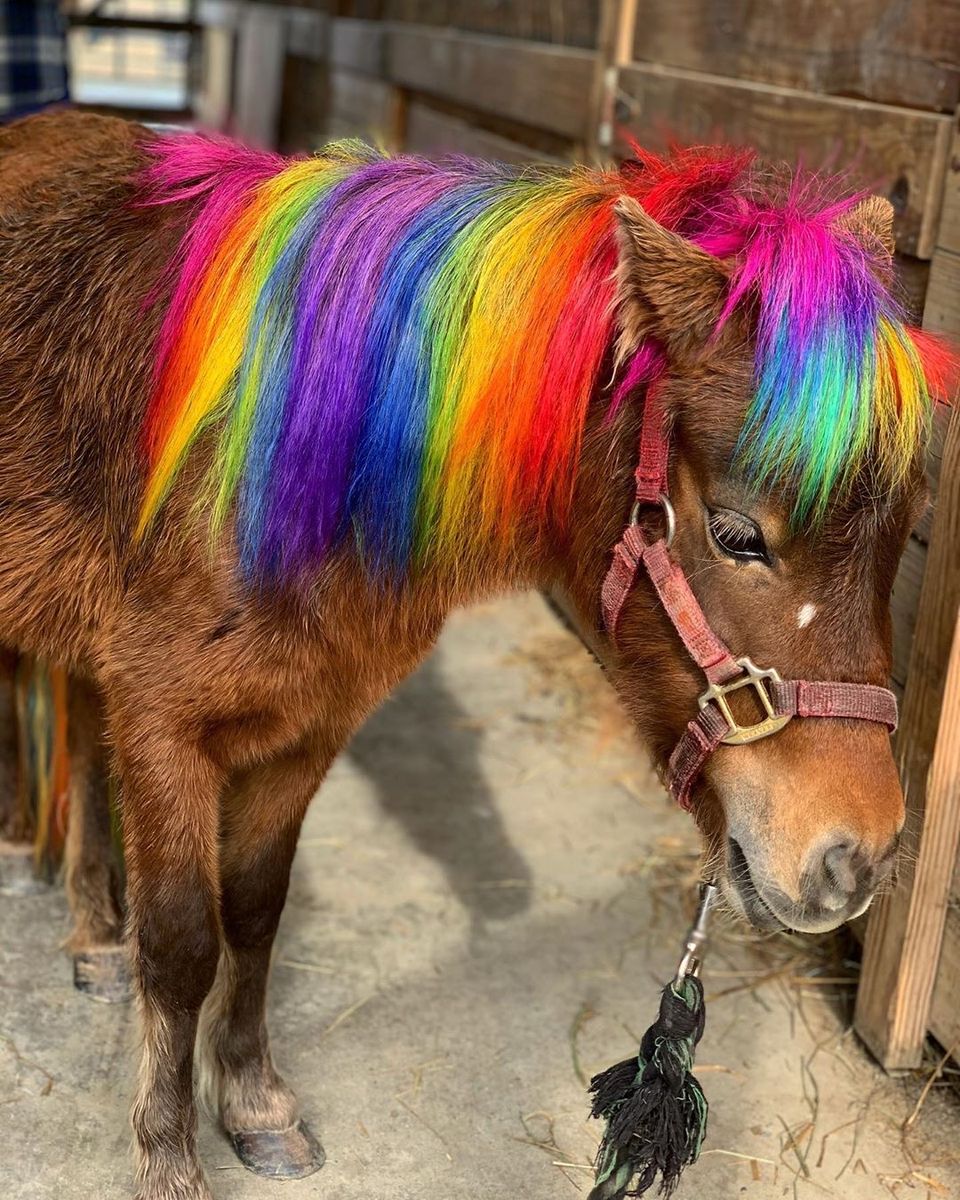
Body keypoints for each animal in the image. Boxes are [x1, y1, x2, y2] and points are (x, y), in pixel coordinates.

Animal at [0, 112, 945, 1200]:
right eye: (740, 533)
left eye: (904, 535)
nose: (856, 857)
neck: (298, 463)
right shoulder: (164, 729)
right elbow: (184, 942)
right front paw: (167, 1157)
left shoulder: (307, 731)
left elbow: (256, 913)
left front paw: (255, 1105)